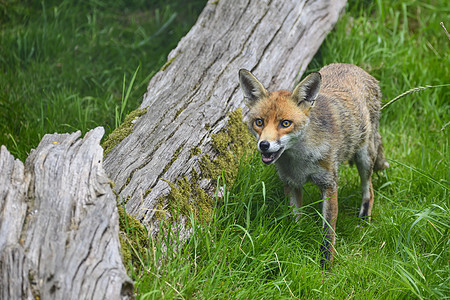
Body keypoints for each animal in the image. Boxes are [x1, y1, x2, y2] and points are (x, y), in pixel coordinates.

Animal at [237, 63, 388, 268]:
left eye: (285, 123)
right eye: (259, 122)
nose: (264, 145)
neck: (300, 160)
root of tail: (353, 67)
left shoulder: (329, 184)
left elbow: (328, 234)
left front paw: (326, 267)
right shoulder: (291, 183)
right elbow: (295, 219)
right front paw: (297, 238)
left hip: (364, 158)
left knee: (369, 190)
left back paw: (364, 219)